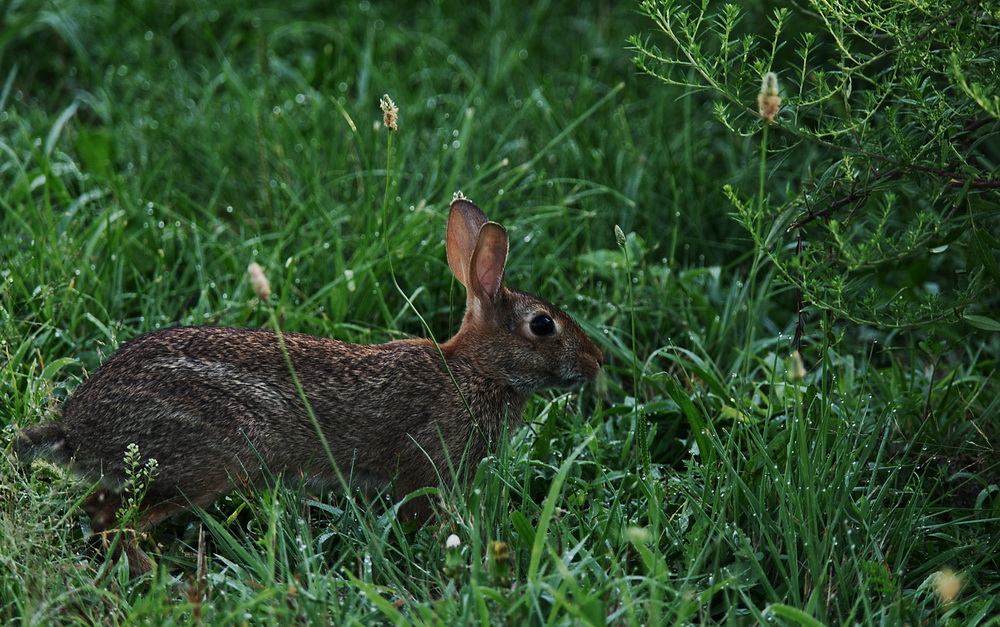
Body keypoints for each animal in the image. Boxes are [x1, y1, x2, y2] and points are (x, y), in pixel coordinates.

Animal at [13, 199, 600, 576]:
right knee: (117, 525)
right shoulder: (426, 468)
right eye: (542, 326)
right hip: (203, 461)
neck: (476, 371)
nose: (596, 361)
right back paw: (167, 582)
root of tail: (76, 428)